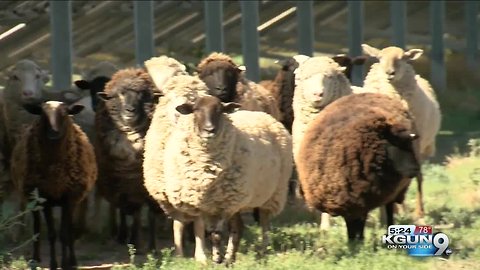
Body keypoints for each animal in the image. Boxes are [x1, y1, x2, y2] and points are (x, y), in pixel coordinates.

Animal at [10, 100, 96, 270]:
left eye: (65, 113)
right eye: (43, 115)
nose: (54, 133)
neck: (56, 172)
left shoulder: (69, 198)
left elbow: (65, 234)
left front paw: (65, 263)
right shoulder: (45, 198)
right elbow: (51, 234)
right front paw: (53, 264)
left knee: (70, 229)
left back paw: (73, 261)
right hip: (33, 199)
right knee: (37, 226)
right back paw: (35, 259)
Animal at [94, 67, 164, 251]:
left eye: (142, 95)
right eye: (120, 94)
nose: (130, 111)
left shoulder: (145, 188)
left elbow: (148, 216)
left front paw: (150, 246)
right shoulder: (119, 185)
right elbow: (126, 213)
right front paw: (126, 237)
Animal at [163, 95, 290, 264]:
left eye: (220, 110)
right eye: (196, 109)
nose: (209, 129)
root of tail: (265, 115)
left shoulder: (225, 203)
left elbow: (217, 234)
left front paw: (218, 258)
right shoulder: (205, 204)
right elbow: (210, 233)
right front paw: (217, 258)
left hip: (272, 193)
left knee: (263, 222)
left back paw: (263, 249)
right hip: (238, 201)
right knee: (238, 227)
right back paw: (231, 257)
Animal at [296, 94, 420, 242]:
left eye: (410, 146)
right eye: (396, 144)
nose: (416, 169)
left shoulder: (361, 201)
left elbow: (359, 226)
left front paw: (358, 242)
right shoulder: (348, 203)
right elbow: (352, 228)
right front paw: (353, 243)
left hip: (393, 191)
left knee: (389, 208)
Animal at [362, 43, 440, 217]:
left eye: (403, 58)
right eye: (379, 58)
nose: (389, 73)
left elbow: (415, 176)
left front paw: (418, 213)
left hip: (422, 146)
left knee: (414, 176)